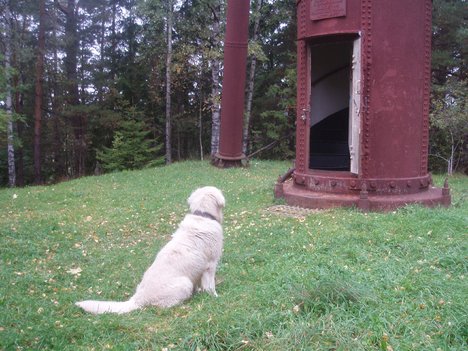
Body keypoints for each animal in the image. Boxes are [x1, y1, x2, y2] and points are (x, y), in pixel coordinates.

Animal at [75, 187, 225, 316]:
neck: (203, 215)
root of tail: (137, 299)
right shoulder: (210, 265)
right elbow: (210, 286)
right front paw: (215, 297)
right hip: (184, 283)